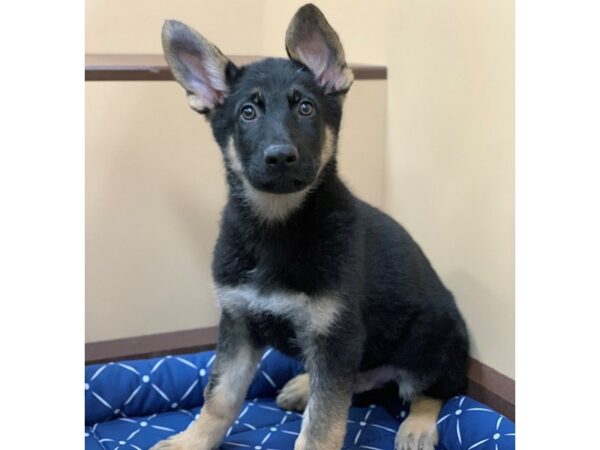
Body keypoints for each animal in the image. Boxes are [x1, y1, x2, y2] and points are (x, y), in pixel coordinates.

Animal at [152, 4, 472, 450]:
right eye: (247, 113)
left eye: (305, 108)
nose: (280, 157)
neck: (277, 227)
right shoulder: (238, 324)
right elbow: (220, 396)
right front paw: (191, 440)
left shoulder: (335, 338)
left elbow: (323, 424)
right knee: (364, 379)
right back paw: (304, 385)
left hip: (431, 335)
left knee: (429, 389)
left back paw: (417, 427)